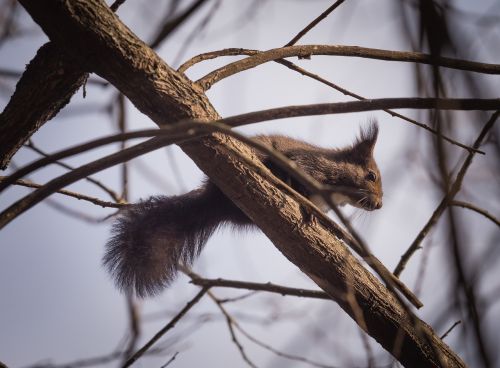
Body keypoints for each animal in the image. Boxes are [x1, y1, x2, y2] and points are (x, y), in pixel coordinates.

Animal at [102, 122, 382, 298]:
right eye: (371, 176)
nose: (379, 204)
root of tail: (213, 201)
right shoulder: (309, 165)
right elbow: (299, 176)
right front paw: (306, 206)